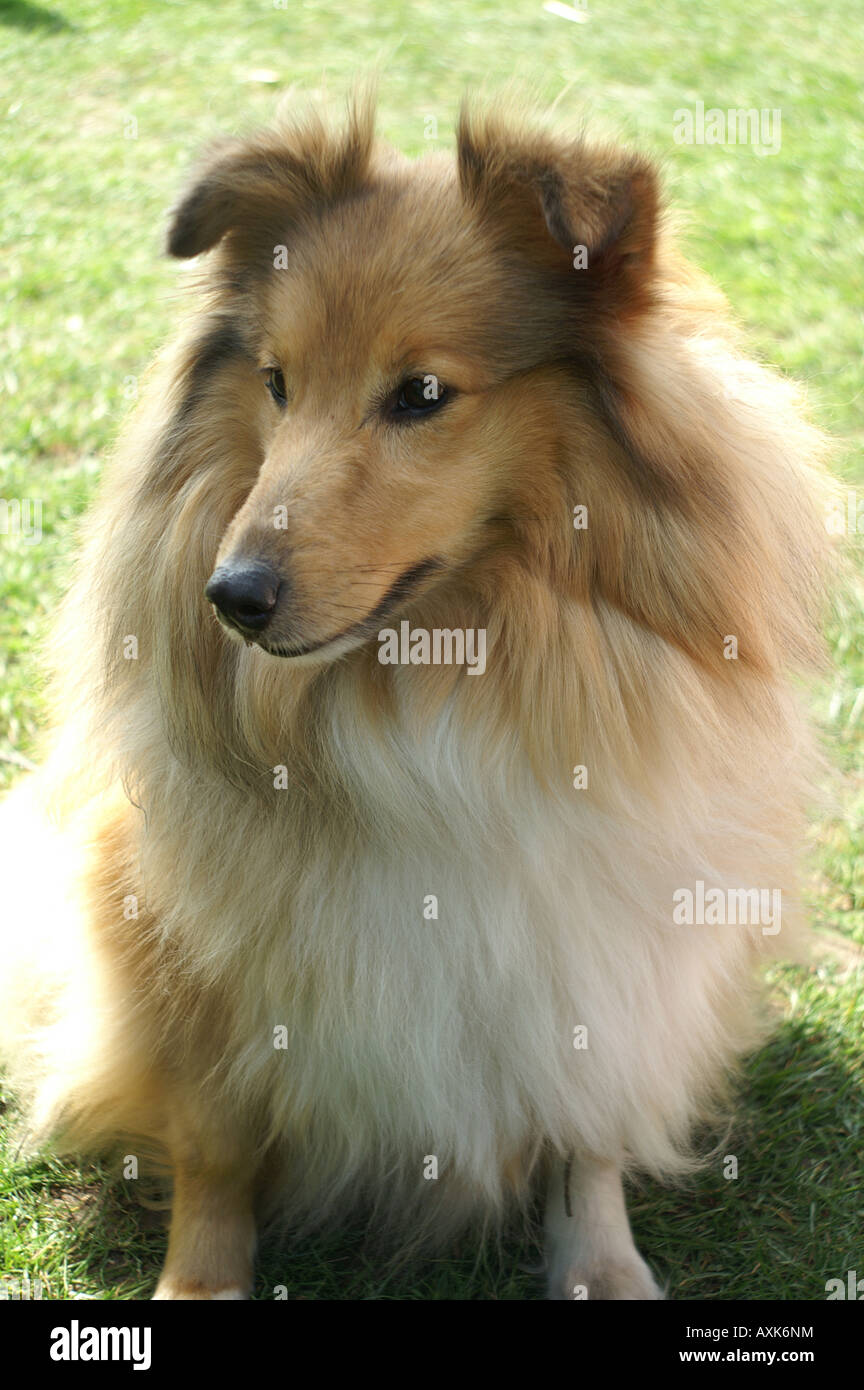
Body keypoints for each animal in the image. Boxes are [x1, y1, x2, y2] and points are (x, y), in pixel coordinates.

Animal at [1, 92, 838, 1295]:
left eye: (423, 394)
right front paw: (201, 1279)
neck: (446, 662)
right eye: (277, 382)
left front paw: (600, 1262)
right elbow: (215, 1148)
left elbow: (585, 1129)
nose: (231, 597)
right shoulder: (177, 937)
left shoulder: (611, 929)